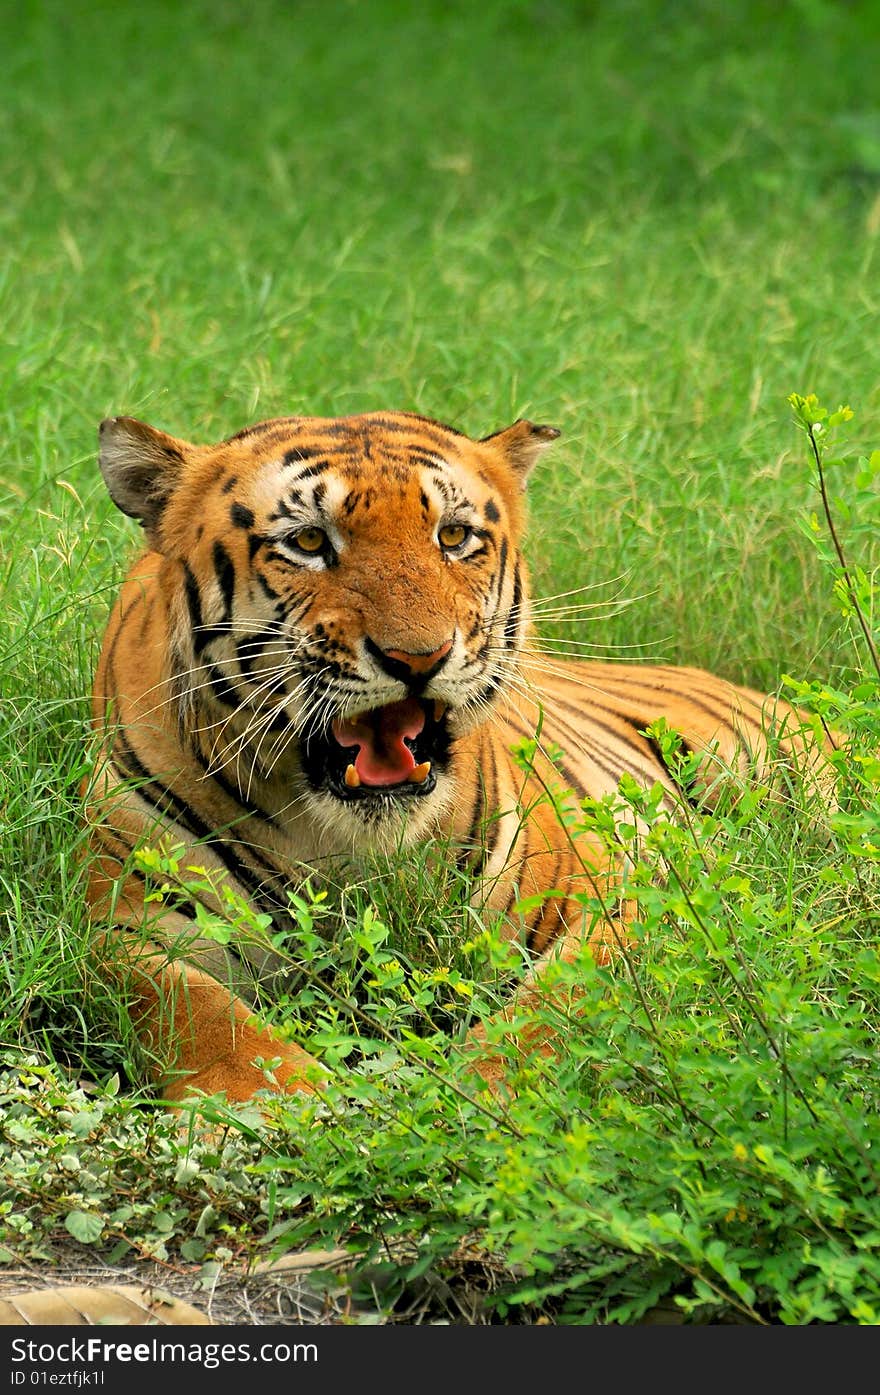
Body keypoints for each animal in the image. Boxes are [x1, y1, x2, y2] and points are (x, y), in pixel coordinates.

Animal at [82, 407, 831, 1104]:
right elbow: (193, 1010)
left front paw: (480, 1094)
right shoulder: (123, 924)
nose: (419, 658)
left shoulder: (613, 895)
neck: (342, 845)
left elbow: (554, 1008)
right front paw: (277, 1098)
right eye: (308, 541)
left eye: (452, 536)